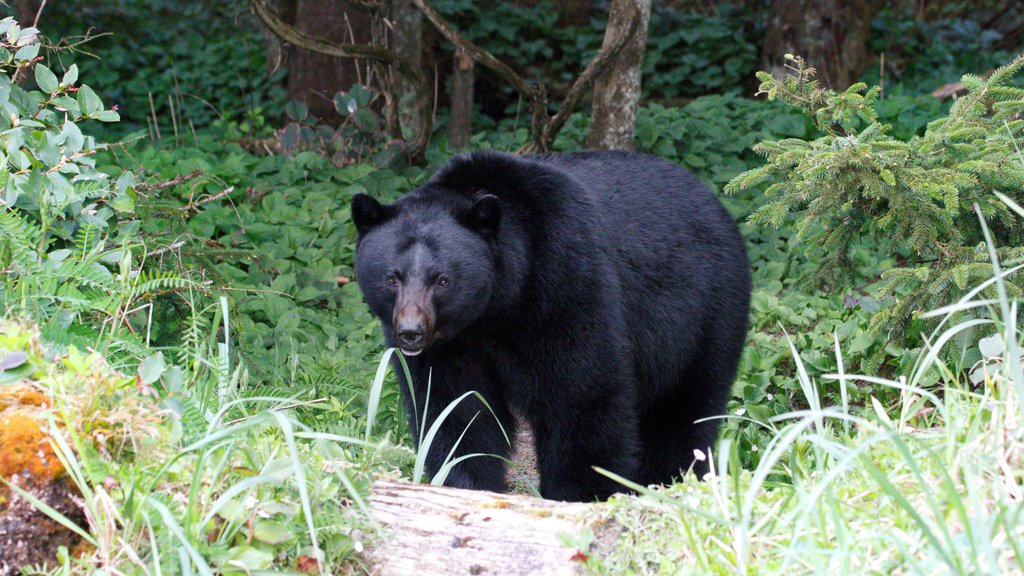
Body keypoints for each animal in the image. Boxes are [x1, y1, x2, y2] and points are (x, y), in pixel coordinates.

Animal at [354, 150, 753, 500]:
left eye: (442, 280)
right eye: (392, 278)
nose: (411, 332)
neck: (495, 310)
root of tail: (713, 198)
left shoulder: (562, 278)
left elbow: (581, 393)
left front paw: (580, 493)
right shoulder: (453, 344)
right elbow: (455, 406)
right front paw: (464, 482)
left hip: (706, 310)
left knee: (685, 407)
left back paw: (666, 480)